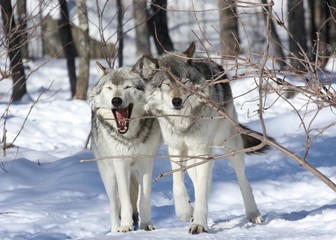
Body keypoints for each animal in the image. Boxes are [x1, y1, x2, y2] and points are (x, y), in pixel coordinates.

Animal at [88, 62, 162, 232]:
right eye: (109, 88)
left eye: (128, 87)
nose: (116, 100)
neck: (130, 137)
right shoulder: (120, 163)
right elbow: (125, 200)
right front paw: (126, 226)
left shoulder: (146, 162)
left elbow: (143, 199)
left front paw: (146, 225)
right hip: (109, 175)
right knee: (114, 204)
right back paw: (116, 230)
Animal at [138, 42, 270, 233]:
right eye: (167, 84)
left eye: (185, 82)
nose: (177, 101)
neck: (183, 122)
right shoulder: (175, 147)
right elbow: (178, 183)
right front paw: (185, 211)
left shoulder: (202, 150)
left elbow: (200, 191)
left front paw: (199, 223)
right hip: (193, 155)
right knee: (198, 178)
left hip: (230, 146)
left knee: (242, 181)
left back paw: (253, 213)